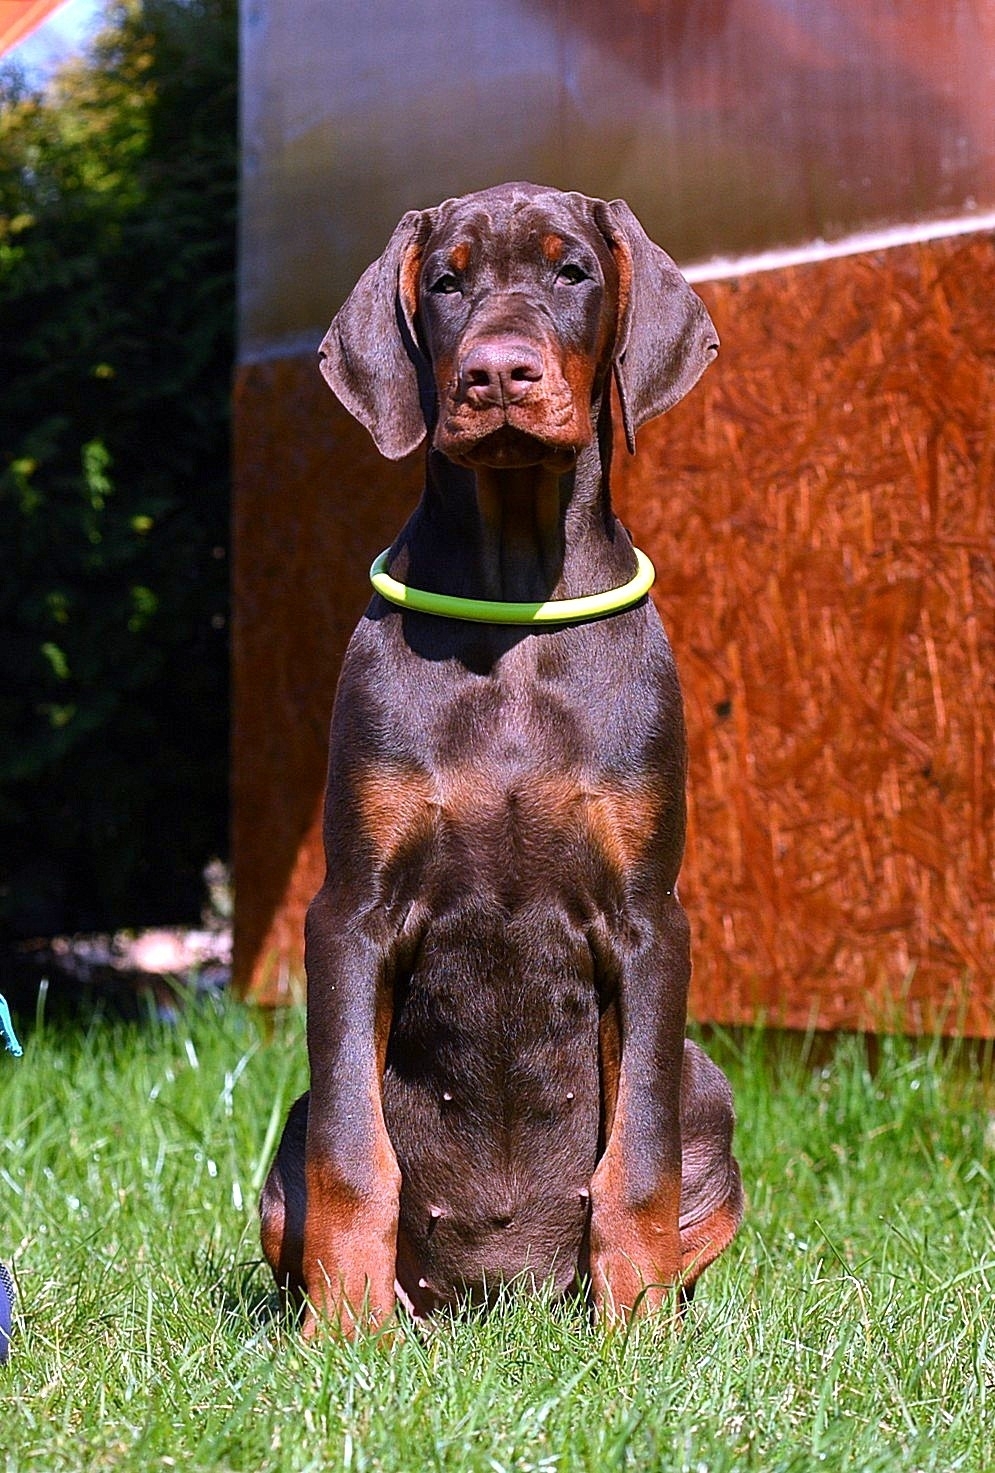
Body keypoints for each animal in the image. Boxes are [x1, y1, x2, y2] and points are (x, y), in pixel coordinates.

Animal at [260, 182, 743, 1335]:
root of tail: (500, 1300)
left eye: (572, 271)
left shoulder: (648, 920)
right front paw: (342, 1337)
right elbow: (353, 1156)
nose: (494, 373)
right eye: (445, 281)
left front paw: (636, 1335)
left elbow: (640, 1156)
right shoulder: (350, 913)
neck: (514, 601)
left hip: (710, 1085)